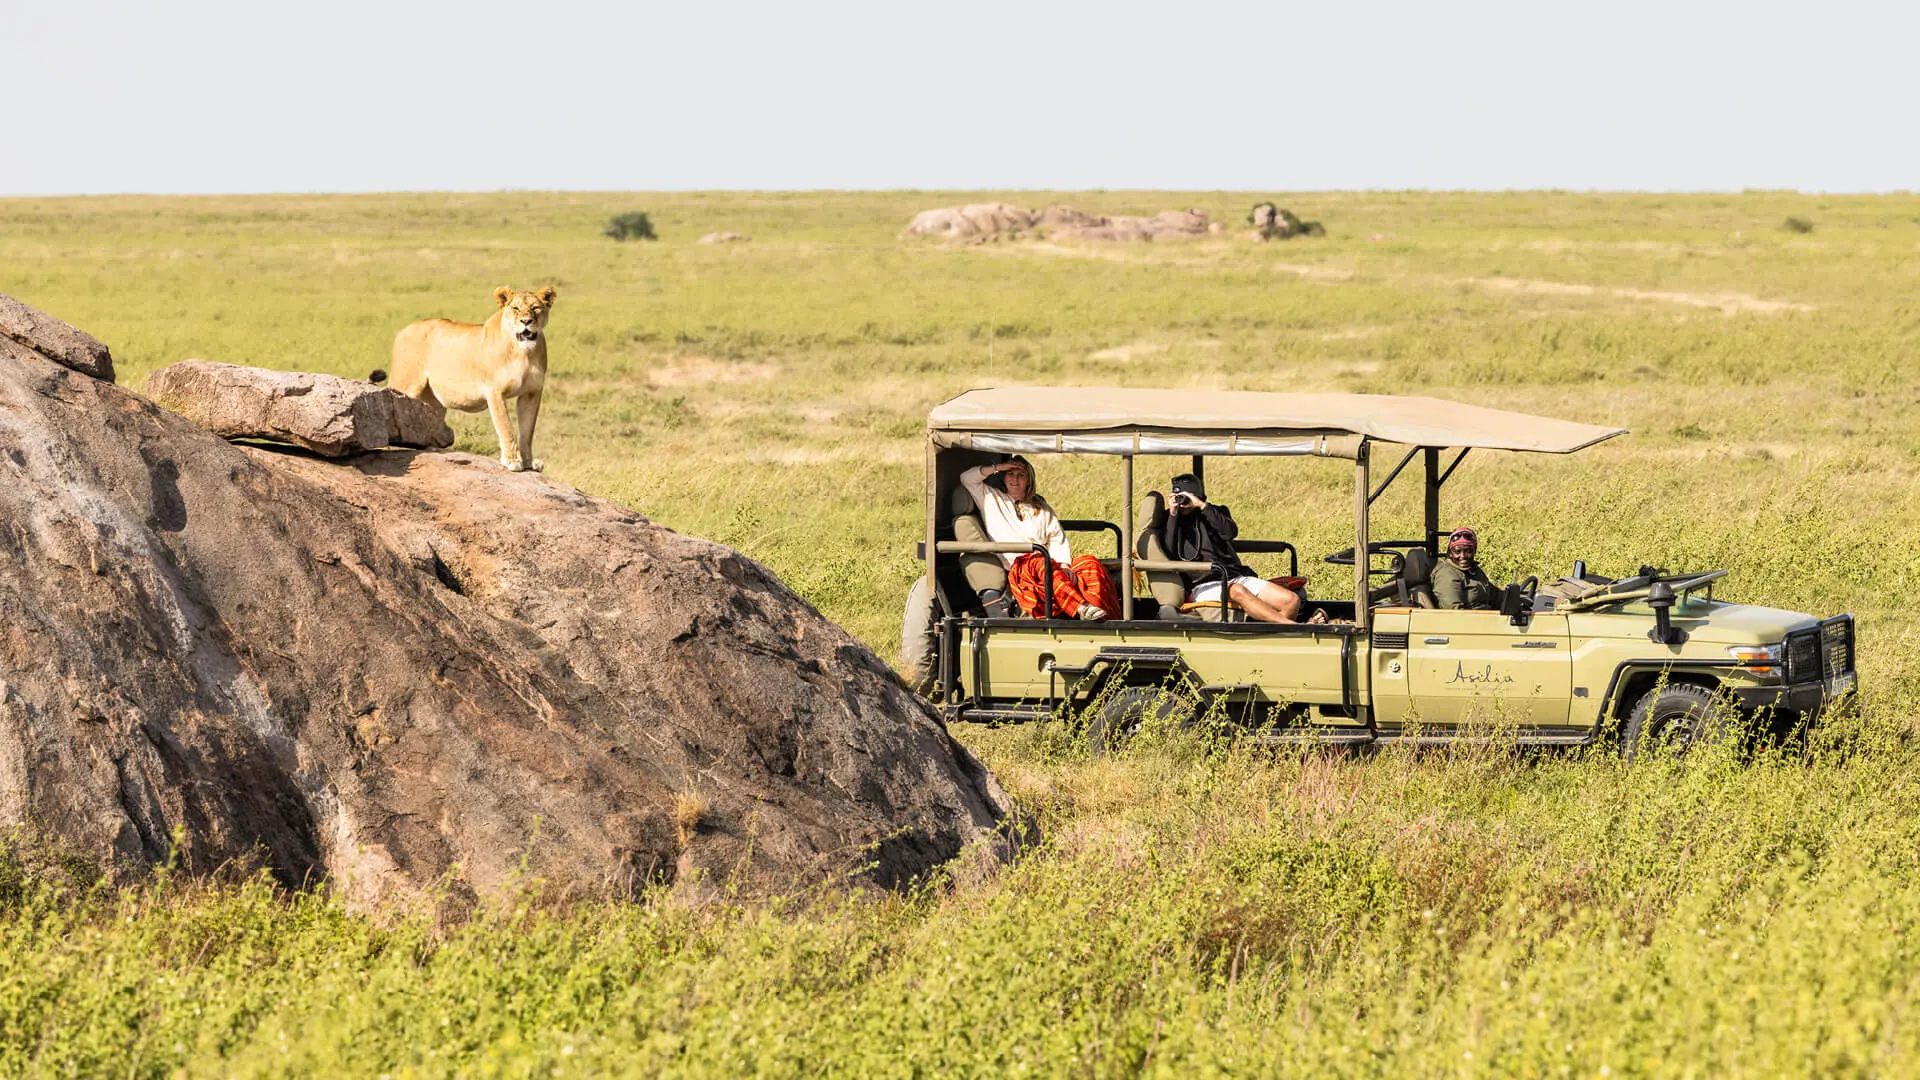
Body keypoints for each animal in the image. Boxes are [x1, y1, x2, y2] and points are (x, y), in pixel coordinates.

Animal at [373, 285, 556, 472]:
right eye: (515, 308)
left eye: (536, 308)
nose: (526, 321)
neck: (524, 353)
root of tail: (404, 330)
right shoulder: (495, 392)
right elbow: (506, 427)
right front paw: (512, 460)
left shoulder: (532, 393)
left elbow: (527, 430)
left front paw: (529, 462)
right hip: (404, 386)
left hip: (432, 402)